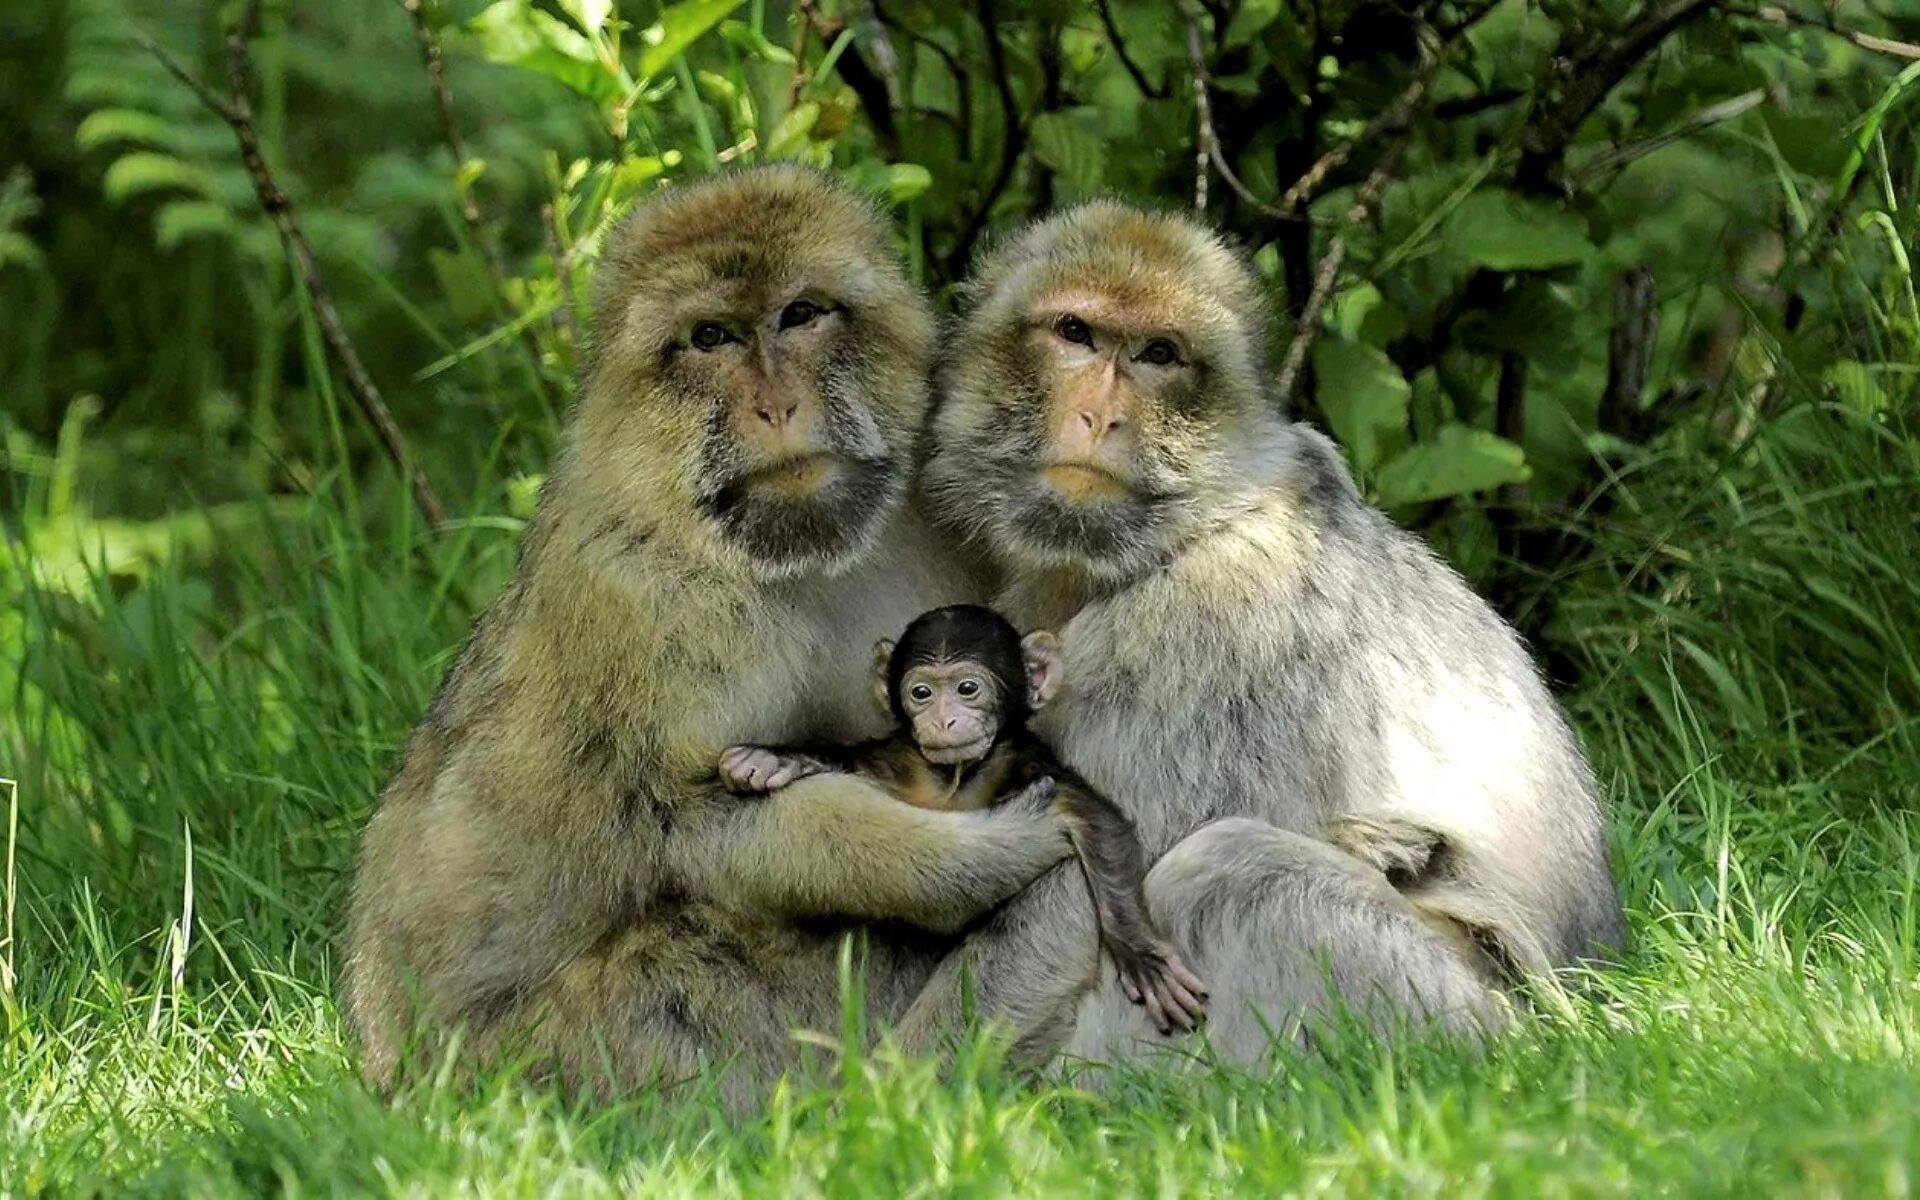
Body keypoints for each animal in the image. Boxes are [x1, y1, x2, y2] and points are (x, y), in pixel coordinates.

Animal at [337, 161, 1082, 1105]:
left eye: (801, 314)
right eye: (712, 337)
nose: (776, 403)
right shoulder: (651, 604)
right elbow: (698, 815)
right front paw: (992, 856)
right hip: (533, 1063)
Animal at [714, 602, 1205, 1036]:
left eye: (968, 688)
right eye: (922, 693)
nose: (944, 719)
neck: (957, 777)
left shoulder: (1029, 764)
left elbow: (1096, 822)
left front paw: (1141, 952)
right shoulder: (900, 762)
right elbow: (855, 766)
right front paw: (773, 758)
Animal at [906, 203, 1628, 1067]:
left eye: (1158, 355)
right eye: (1075, 332)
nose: (1099, 415)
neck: (1178, 532)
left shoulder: (1191, 638)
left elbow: (1095, 872)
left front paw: (889, 1083)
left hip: (1439, 1014)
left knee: (1232, 870)